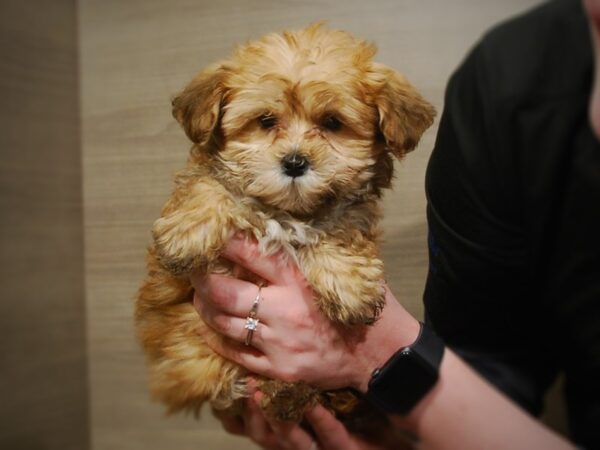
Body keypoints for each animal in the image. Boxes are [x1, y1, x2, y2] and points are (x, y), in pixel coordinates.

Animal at [137, 22, 432, 430]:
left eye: (332, 123)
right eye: (265, 121)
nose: (294, 162)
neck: (286, 213)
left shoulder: (347, 213)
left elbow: (338, 229)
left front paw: (350, 286)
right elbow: (208, 184)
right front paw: (187, 232)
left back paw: (292, 393)